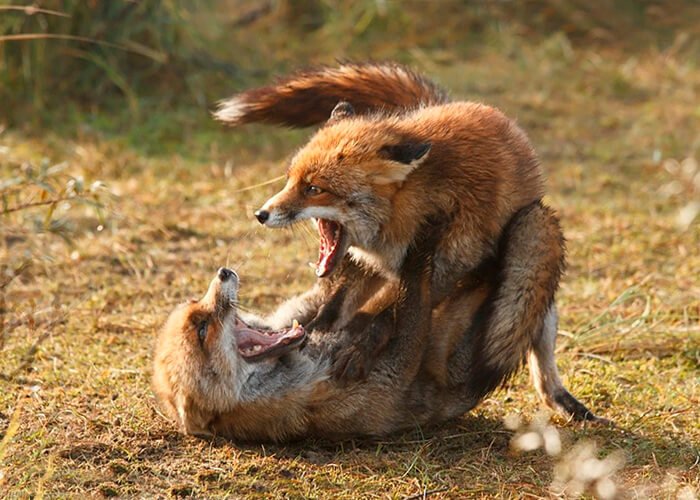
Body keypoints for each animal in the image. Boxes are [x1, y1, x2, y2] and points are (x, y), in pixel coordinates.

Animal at [214, 62, 603, 421]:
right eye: (290, 180)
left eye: (313, 188)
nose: (261, 214)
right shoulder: (368, 263)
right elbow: (339, 309)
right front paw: (314, 334)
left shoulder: (444, 267)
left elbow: (385, 314)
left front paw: (358, 348)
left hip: (534, 234)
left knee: (539, 341)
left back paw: (563, 399)